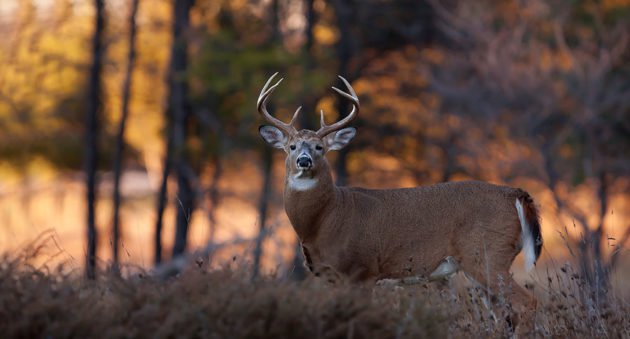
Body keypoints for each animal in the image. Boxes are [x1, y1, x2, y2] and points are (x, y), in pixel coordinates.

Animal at [260, 73, 544, 334]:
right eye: (291, 146)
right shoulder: (331, 276)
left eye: (320, 147)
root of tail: (515, 194)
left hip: (487, 254)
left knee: (527, 303)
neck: (325, 218)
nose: (304, 160)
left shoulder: (362, 270)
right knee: (504, 314)